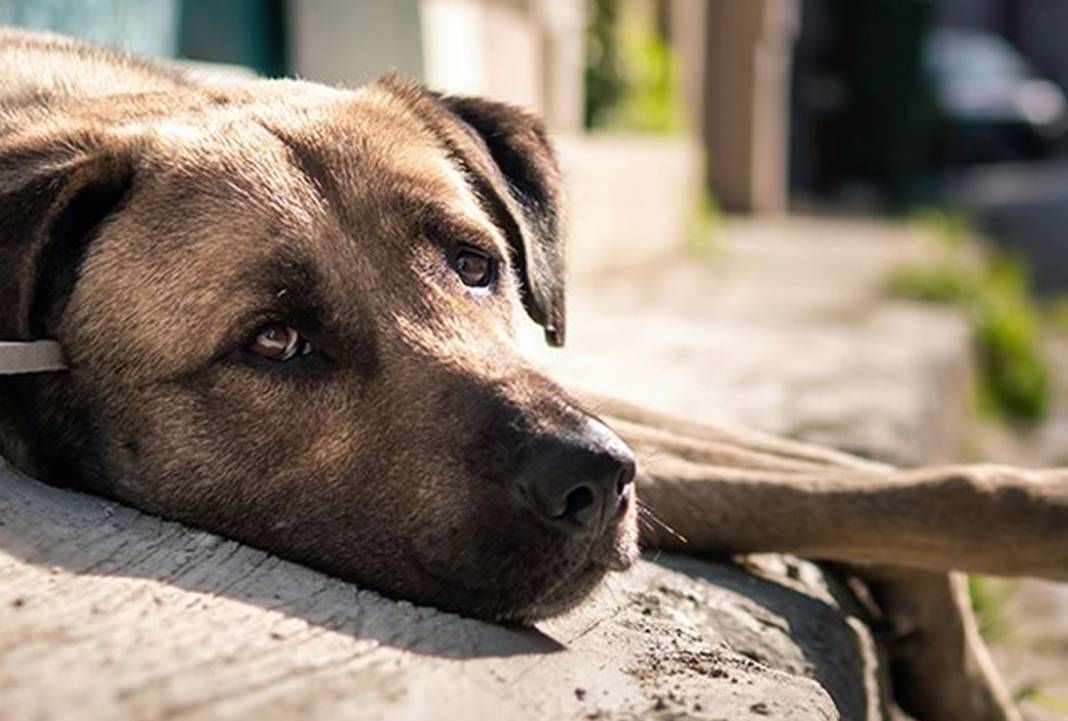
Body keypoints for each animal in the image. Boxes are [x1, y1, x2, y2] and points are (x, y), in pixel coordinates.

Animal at [0, 26, 1063, 721]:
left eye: (478, 265)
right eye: (274, 340)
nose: (596, 480)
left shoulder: (591, 394)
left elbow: (868, 478)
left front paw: (961, 658)